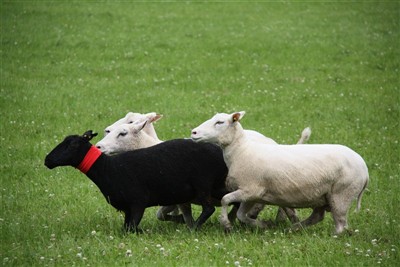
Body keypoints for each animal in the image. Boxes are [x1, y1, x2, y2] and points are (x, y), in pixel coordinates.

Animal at [44, 131, 228, 233]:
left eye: (72, 145)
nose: (47, 160)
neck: (107, 169)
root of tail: (219, 152)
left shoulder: (138, 202)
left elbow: (131, 228)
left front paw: (143, 232)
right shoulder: (127, 208)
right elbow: (126, 228)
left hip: (203, 184)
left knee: (209, 208)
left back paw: (193, 229)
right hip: (215, 186)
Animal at [191, 111, 368, 234]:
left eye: (220, 122)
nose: (193, 132)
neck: (241, 151)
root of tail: (365, 169)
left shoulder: (250, 190)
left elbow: (225, 200)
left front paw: (226, 224)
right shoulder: (252, 194)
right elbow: (241, 214)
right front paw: (262, 225)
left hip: (341, 194)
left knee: (341, 224)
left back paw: (332, 236)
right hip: (322, 196)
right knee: (317, 216)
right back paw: (293, 229)